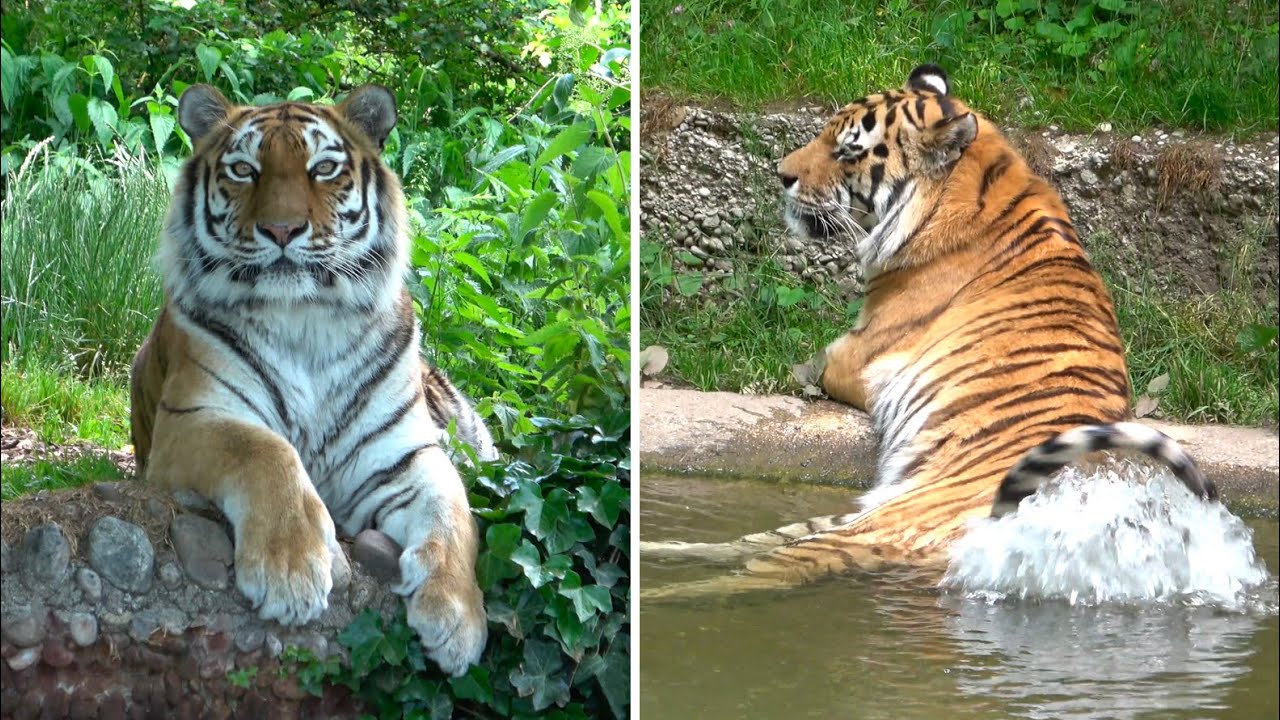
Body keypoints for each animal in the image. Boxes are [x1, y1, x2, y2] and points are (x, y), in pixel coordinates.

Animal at [129, 83, 497, 675]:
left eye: (323, 168)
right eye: (244, 169)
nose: (281, 230)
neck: (305, 321)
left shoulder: (404, 453)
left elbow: (455, 515)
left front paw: (459, 618)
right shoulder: (192, 418)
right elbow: (265, 450)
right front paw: (289, 573)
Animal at [641, 65, 1218, 589]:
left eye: (848, 151)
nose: (781, 174)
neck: (986, 180)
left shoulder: (855, 357)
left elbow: (817, 363)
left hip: (881, 525)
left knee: (769, 567)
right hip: (857, 511)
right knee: (751, 541)